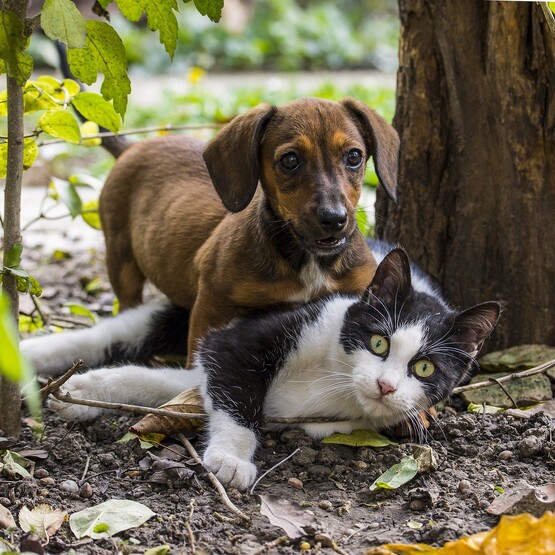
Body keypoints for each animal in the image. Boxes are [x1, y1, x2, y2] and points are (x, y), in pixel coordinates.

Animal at [21, 245, 502, 488]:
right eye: (378, 342)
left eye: (425, 369)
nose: (385, 385)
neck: (336, 379)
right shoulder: (245, 337)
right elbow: (235, 390)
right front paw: (231, 459)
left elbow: (172, 384)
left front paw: (87, 392)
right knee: (114, 332)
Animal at [100, 98, 400, 360]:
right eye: (290, 160)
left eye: (354, 156)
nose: (334, 219)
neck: (308, 261)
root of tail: (131, 148)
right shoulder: (211, 304)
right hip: (121, 261)